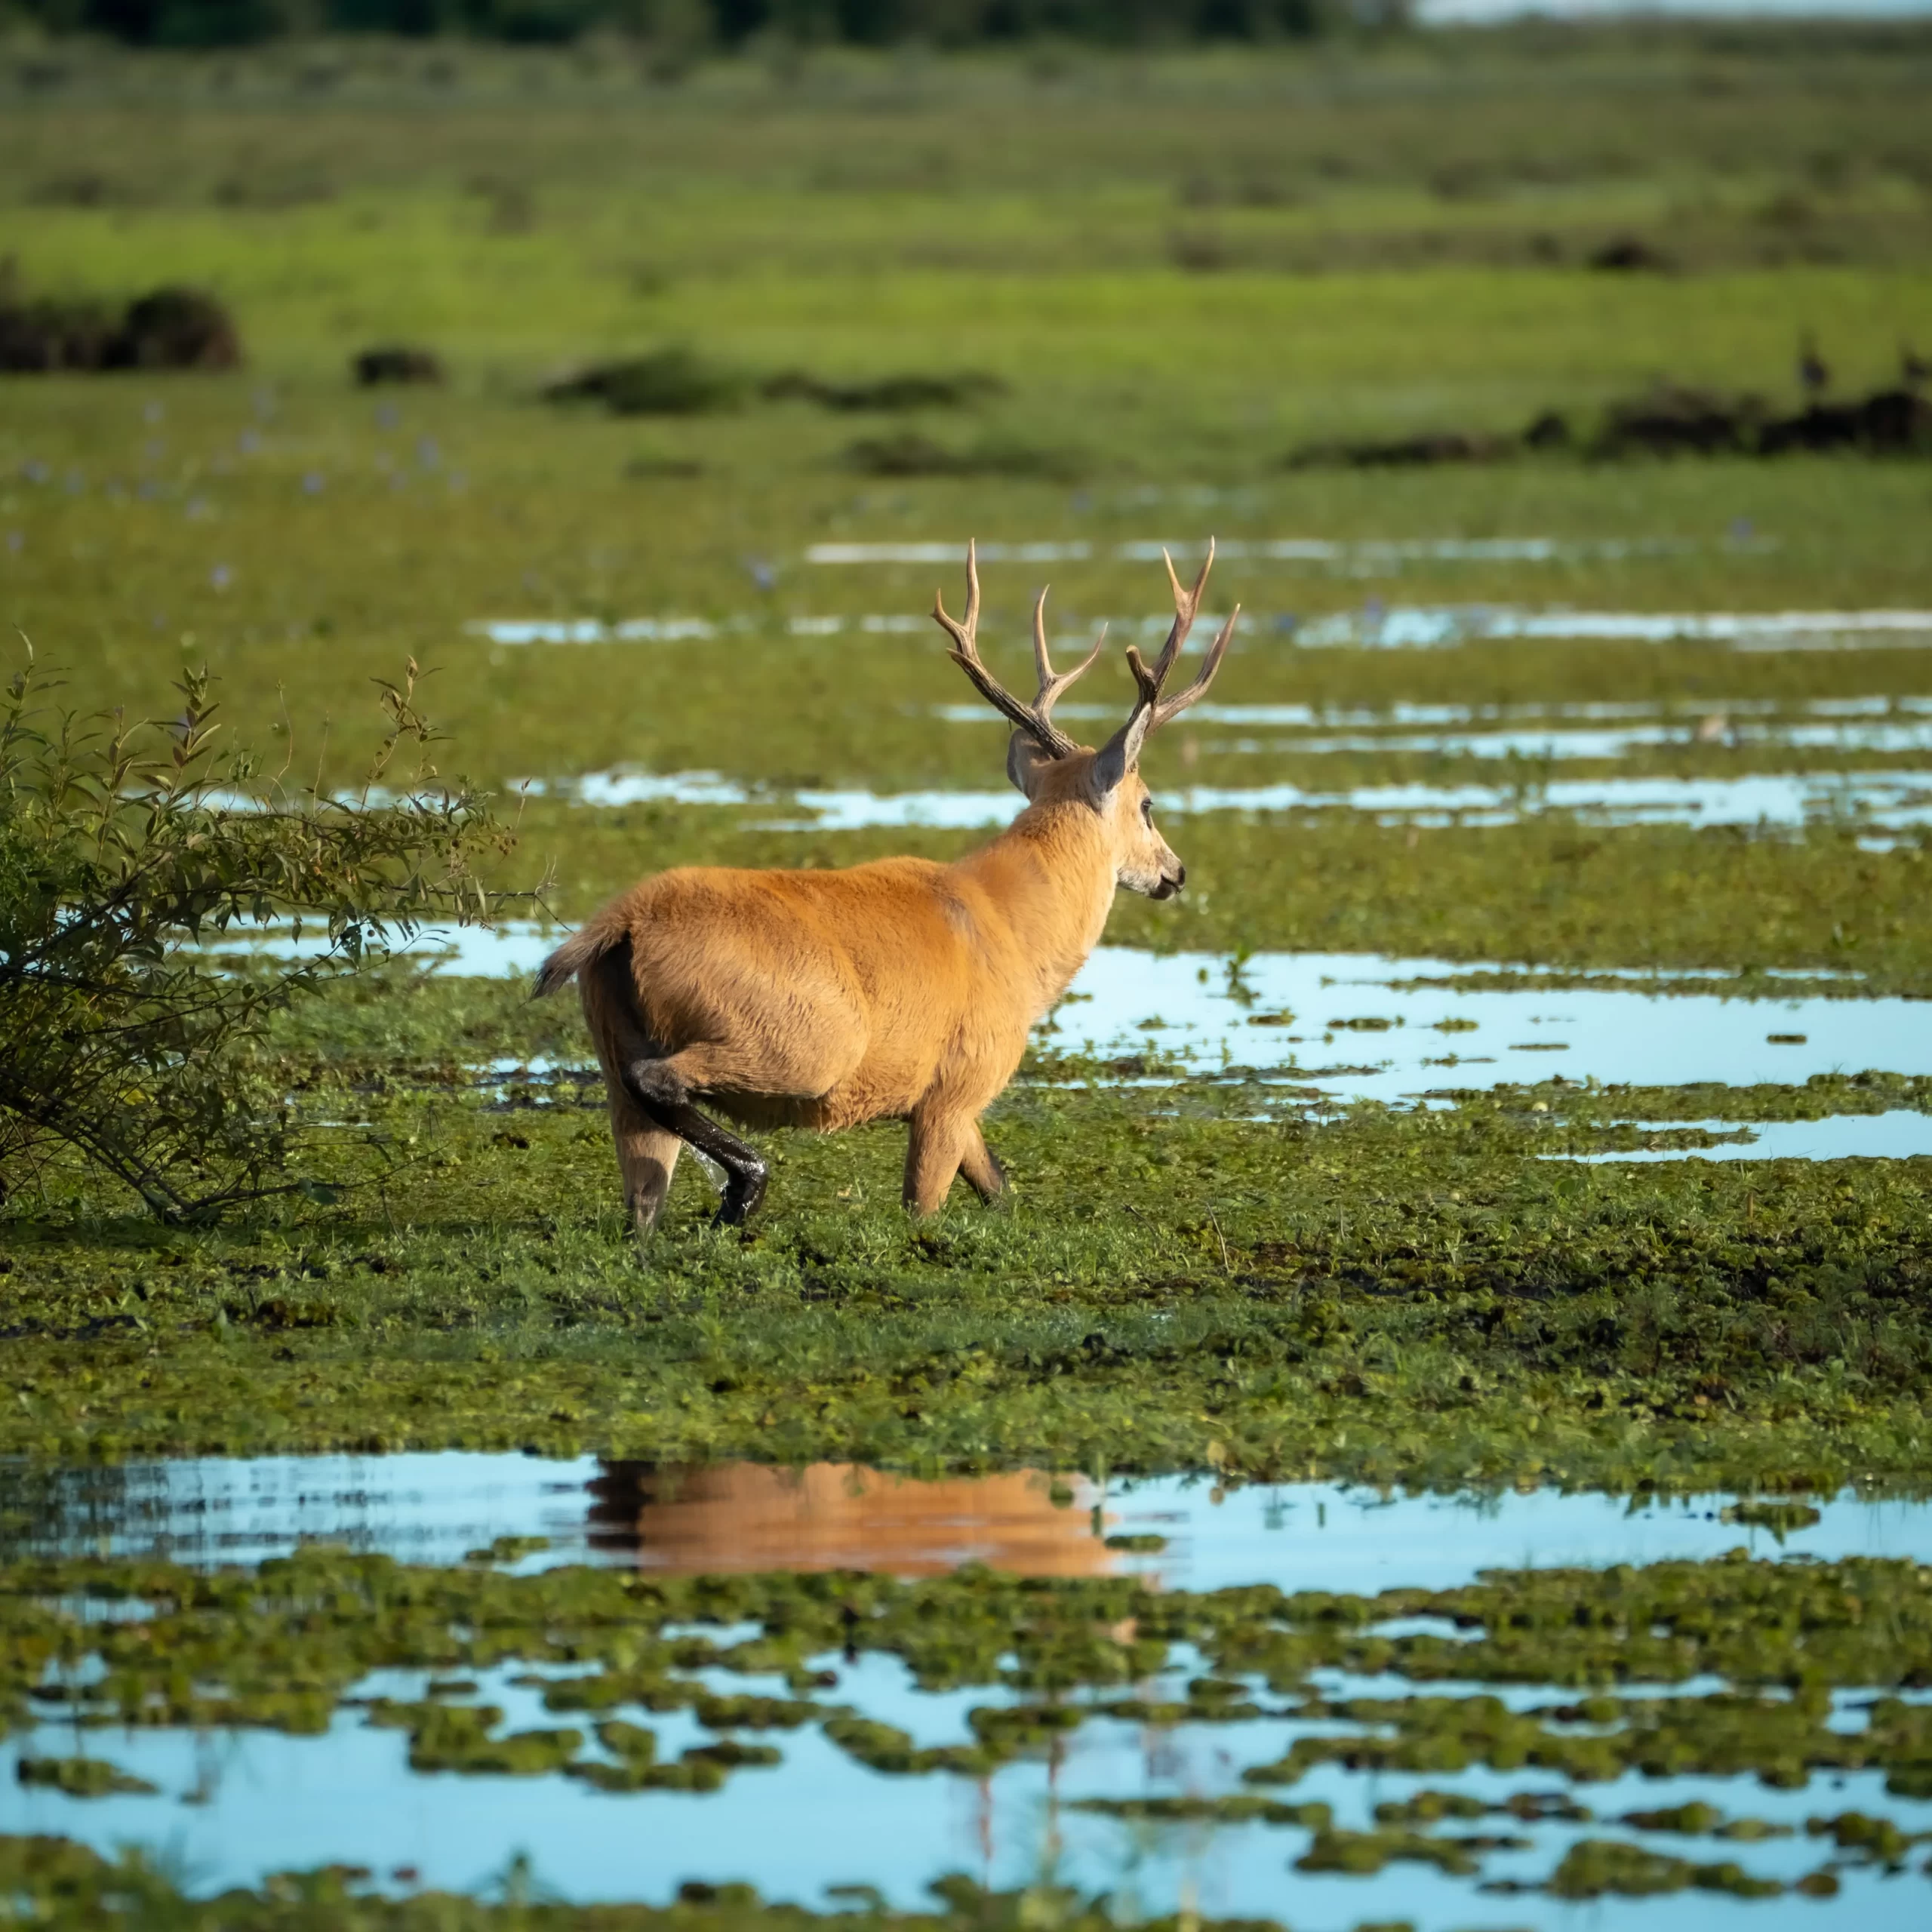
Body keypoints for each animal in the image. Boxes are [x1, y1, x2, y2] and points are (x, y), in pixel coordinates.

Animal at [534, 540, 1238, 1235]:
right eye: (1147, 804)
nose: (1174, 872)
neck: (1017, 929)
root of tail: (624, 920)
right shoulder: (957, 1087)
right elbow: (922, 1210)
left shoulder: (954, 1104)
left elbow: (999, 1188)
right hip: (807, 1043)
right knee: (660, 1084)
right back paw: (746, 1189)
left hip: (613, 1041)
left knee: (641, 1198)